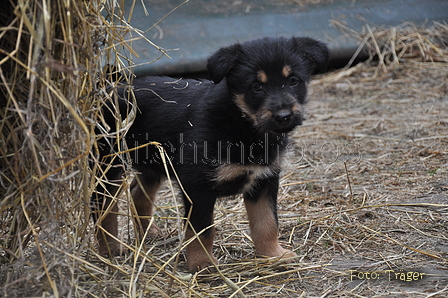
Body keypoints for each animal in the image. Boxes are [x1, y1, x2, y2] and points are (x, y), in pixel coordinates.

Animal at [93, 36, 328, 272]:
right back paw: (110, 248)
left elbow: (267, 222)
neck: (242, 123)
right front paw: (202, 263)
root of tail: (108, 89)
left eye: (293, 81)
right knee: (103, 207)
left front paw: (273, 254)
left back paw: (148, 233)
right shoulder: (198, 186)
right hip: (108, 164)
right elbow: (201, 230)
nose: (284, 116)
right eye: (256, 87)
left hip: (153, 163)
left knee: (137, 193)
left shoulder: (264, 180)